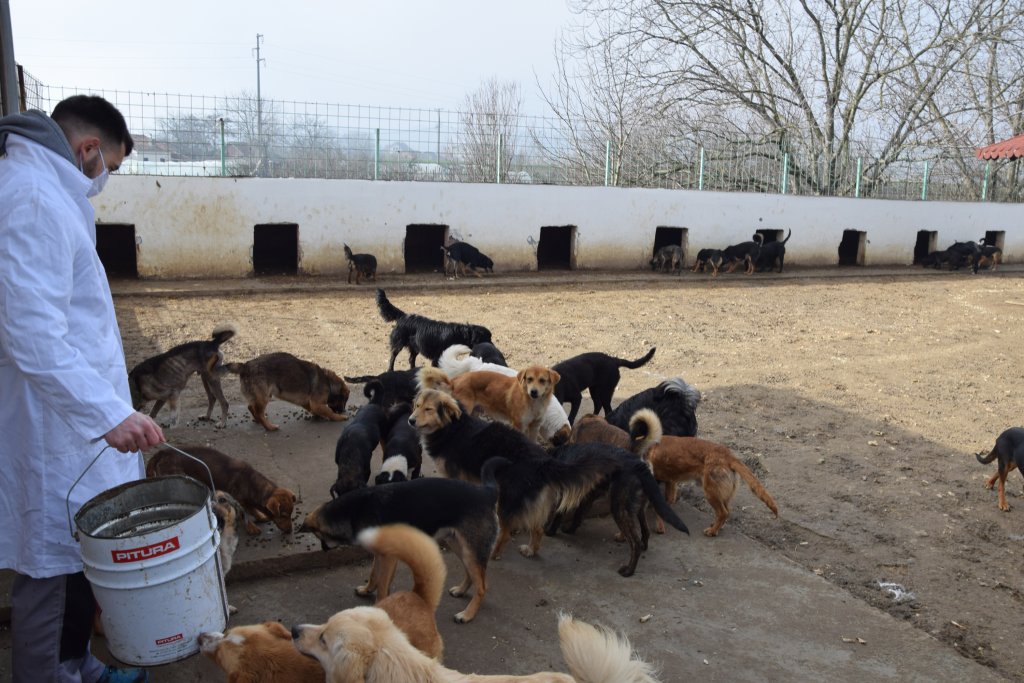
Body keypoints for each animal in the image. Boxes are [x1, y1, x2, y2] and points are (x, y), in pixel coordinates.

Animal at [146, 445, 297, 535]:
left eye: (291, 514)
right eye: (283, 515)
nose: (290, 531)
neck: (251, 483)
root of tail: (162, 452)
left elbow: (252, 509)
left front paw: (261, 517)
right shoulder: (238, 499)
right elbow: (244, 512)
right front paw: (251, 527)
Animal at [299, 476, 498, 623]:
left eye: (319, 537)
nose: (324, 550)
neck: (352, 512)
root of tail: (486, 493)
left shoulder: (388, 557)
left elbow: (382, 585)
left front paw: (378, 608)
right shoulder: (380, 555)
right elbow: (374, 575)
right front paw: (367, 590)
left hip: (470, 551)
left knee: (483, 586)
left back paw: (467, 614)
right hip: (460, 546)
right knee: (473, 574)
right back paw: (461, 590)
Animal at [630, 408, 779, 536]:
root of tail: (728, 456)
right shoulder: (670, 482)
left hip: (711, 492)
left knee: (723, 513)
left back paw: (712, 531)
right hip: (721, 494)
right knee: (726, 512)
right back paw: (717, 527)